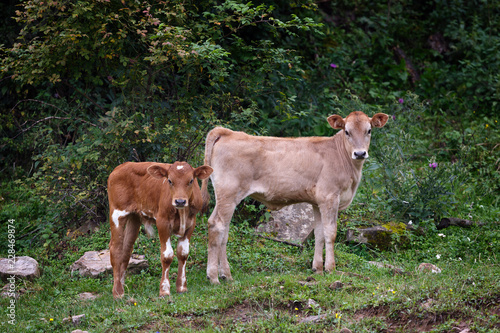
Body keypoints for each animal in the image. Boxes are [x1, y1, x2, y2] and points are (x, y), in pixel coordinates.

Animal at [108, 160, 212, 296]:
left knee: (126, 250)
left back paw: (121, 285)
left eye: (190, 180)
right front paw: (164, 289)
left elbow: (183, 253)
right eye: (169, 180)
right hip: (117, 213)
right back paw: (118, 292)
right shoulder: (162, 222)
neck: (182, 212)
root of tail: (121, 166)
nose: (180, 201)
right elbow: (167, 256)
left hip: (134, 217)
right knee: (115, 249)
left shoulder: (191, 224)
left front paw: (181, 287)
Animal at [201, 111, 388, 282]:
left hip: (227, 197)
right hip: (229, 192)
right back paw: (214, 277)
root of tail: (228, 132)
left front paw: (317, 269)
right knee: (218, 226)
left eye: (369, 130)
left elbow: (319, 233)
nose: (360, 153)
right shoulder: (330, 197)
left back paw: (226, 275)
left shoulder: (317, 201)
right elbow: (330, 233)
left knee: (221, 229)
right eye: (347, 131)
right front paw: (331, 269)